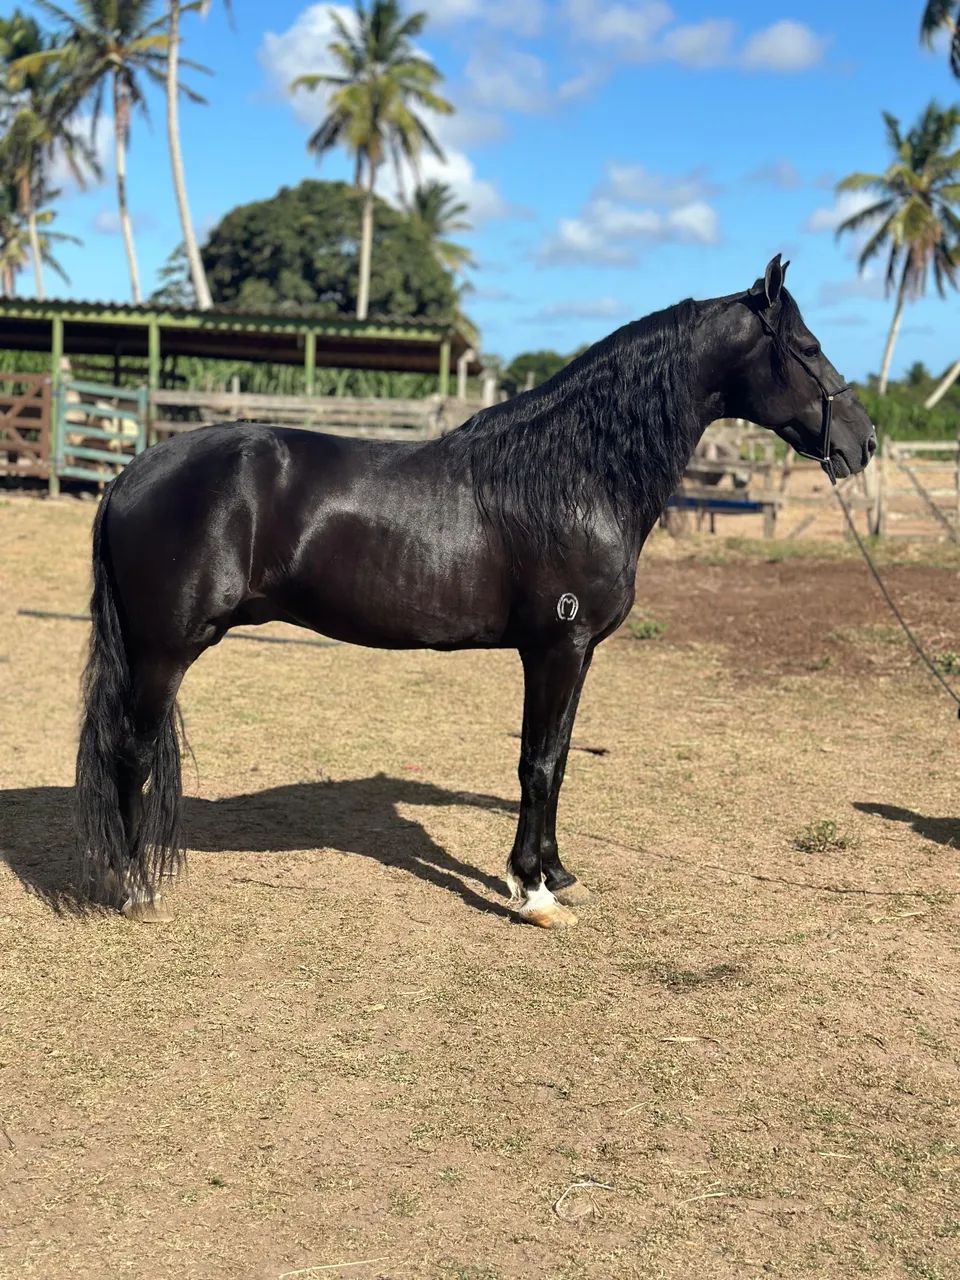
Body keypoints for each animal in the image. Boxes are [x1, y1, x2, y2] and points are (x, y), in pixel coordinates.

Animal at [75, 255, 876, 927]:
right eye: (807, 347)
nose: (862, 442)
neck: (575, 475)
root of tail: (129, 474)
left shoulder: (576, 655)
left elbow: (557, 759)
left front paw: (557, 873)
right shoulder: (555, 648)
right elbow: (538, 764)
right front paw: (535, 893)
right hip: (164, 650)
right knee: (131, 752)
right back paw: (134, 887)